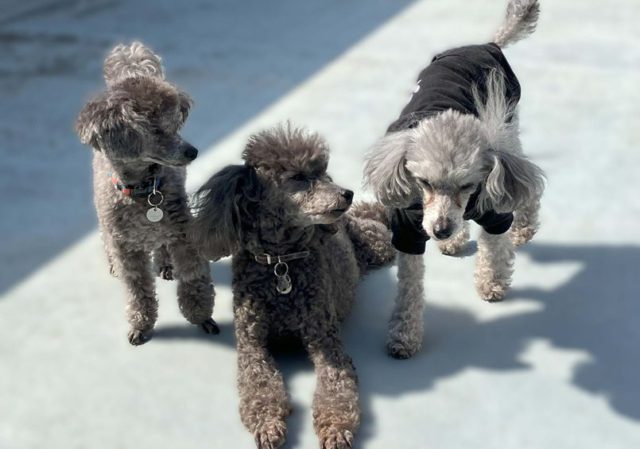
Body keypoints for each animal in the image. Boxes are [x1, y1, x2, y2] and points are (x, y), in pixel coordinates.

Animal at [75, 42, 218, 345]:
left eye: (175, 125)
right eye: (154, 130)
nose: (193, 152)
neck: (145, 191)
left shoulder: (183, 233)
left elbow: (194, 277)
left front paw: (201, 316)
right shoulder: (126, 248)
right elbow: (137, 290)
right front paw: (140, 324)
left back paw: (165, 263)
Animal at [190, 124, 395, 449]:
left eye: (323, 172)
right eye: (298, 177)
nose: (347, 193)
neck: (280, 262)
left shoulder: (326, 341)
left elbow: (337, 388)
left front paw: (336, 429)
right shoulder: (251, 345)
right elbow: (259, 385)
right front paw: (268, 424)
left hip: (376, 245)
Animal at [363, 0, 546, 359]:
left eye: (467, 185)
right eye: (423, 183)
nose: (440, 230)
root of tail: (487, 44)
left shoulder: (493, 207)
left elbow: (495, 247)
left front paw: (492, 283)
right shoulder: (408, 228)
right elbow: (409, 286)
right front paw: (404, 335)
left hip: (506, 123)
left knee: (527, 186)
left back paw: (523, 227)